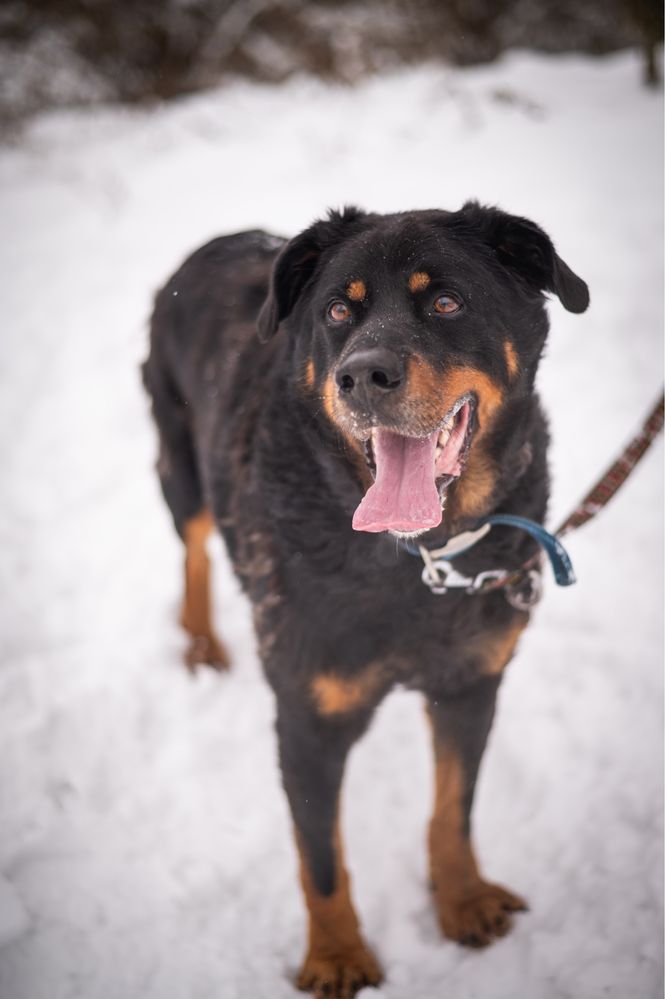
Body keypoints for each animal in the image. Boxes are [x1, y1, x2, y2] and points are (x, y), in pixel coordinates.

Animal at [141, 205, 588, 999]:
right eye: (337, 312)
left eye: (446, 301)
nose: (362, 375)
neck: (419, 557)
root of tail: (217, 240)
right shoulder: (308, 717)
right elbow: (320, 859)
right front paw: (336, 955)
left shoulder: (471, 683)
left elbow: (452, 810)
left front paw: (462, 901)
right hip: (179, 458)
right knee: (193, 548)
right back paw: (199, 644)